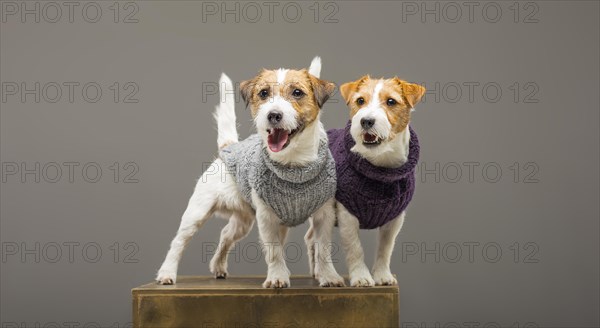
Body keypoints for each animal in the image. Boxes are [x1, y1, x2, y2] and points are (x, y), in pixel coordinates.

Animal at [155, 57, 344, 288]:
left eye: (297, 92)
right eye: (263, 93)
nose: (273, 115)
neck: (293, 164)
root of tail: (228, 147)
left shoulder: (324, 216)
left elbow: (323, 248)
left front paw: (329, 276)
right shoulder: (266, 219)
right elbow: (273, 251)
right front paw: (277, 276)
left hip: (243, 221)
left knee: (226, 234)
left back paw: (218, 266)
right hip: (197, 213)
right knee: (179, 241)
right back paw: (167, 272)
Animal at [308, 76, 424, 288]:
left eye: (391, 101)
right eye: (360, 100)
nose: (366, 121)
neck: (379, 166)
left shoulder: (394, 219)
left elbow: (385, 248)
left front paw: (382, 275)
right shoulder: (347, 214)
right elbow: (355, 248)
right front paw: (361, 276)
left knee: (311, 238)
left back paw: (317, 274)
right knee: (319, 241)